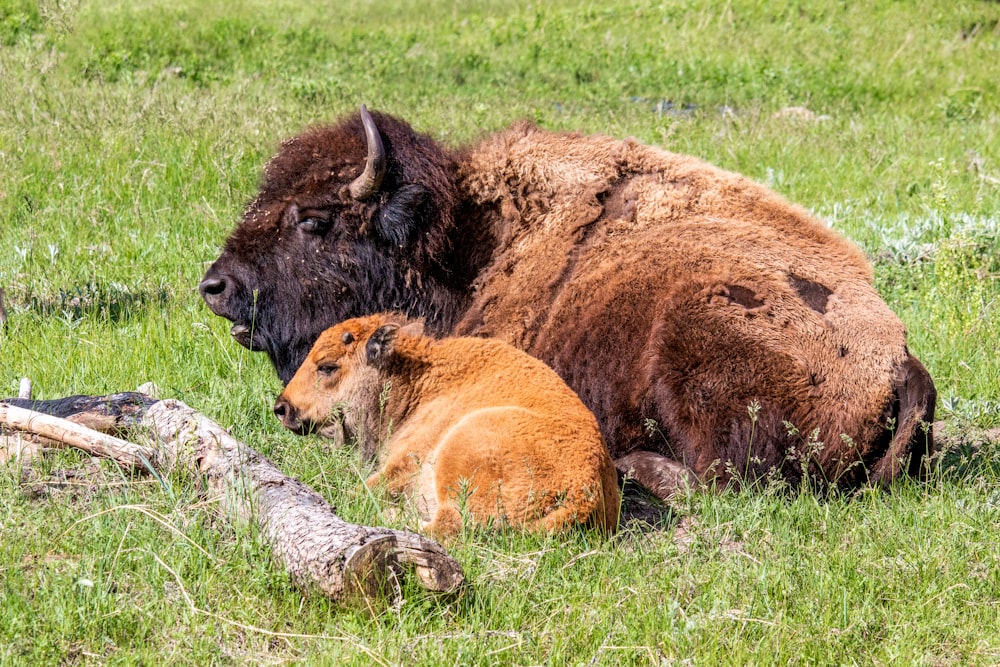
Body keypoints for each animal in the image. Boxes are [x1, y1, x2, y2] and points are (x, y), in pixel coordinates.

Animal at [203, 107, 936, 498]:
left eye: (315, 219)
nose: (216, 286)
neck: (468, 245)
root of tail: (899, 360)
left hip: (695, 343)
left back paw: (631, 464)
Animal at [274, 316, 616, 540]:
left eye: (327, 366)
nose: (282, 408)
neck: (419, 379)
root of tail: (583, 489)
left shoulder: (403, 463)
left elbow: (361, 488)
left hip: (461, 451)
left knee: (445, 525)